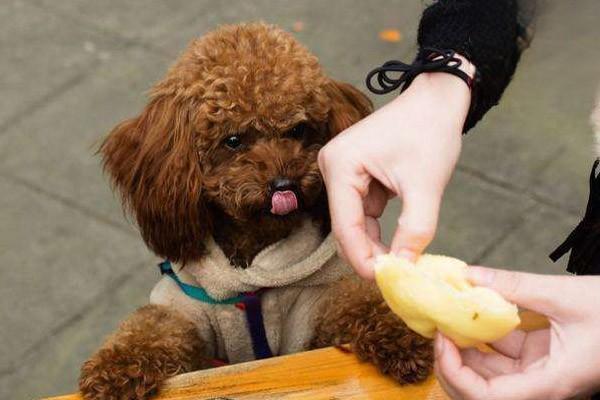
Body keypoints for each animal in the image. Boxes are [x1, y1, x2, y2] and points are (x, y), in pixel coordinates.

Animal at [79, 23, 434, 398]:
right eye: (233, 140)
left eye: (298, 129)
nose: (284, 185)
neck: (252, 270)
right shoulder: (186, 309)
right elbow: (151, 325)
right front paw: (116, 371)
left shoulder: (312, 311)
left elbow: (356, 300)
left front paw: (402, 335)